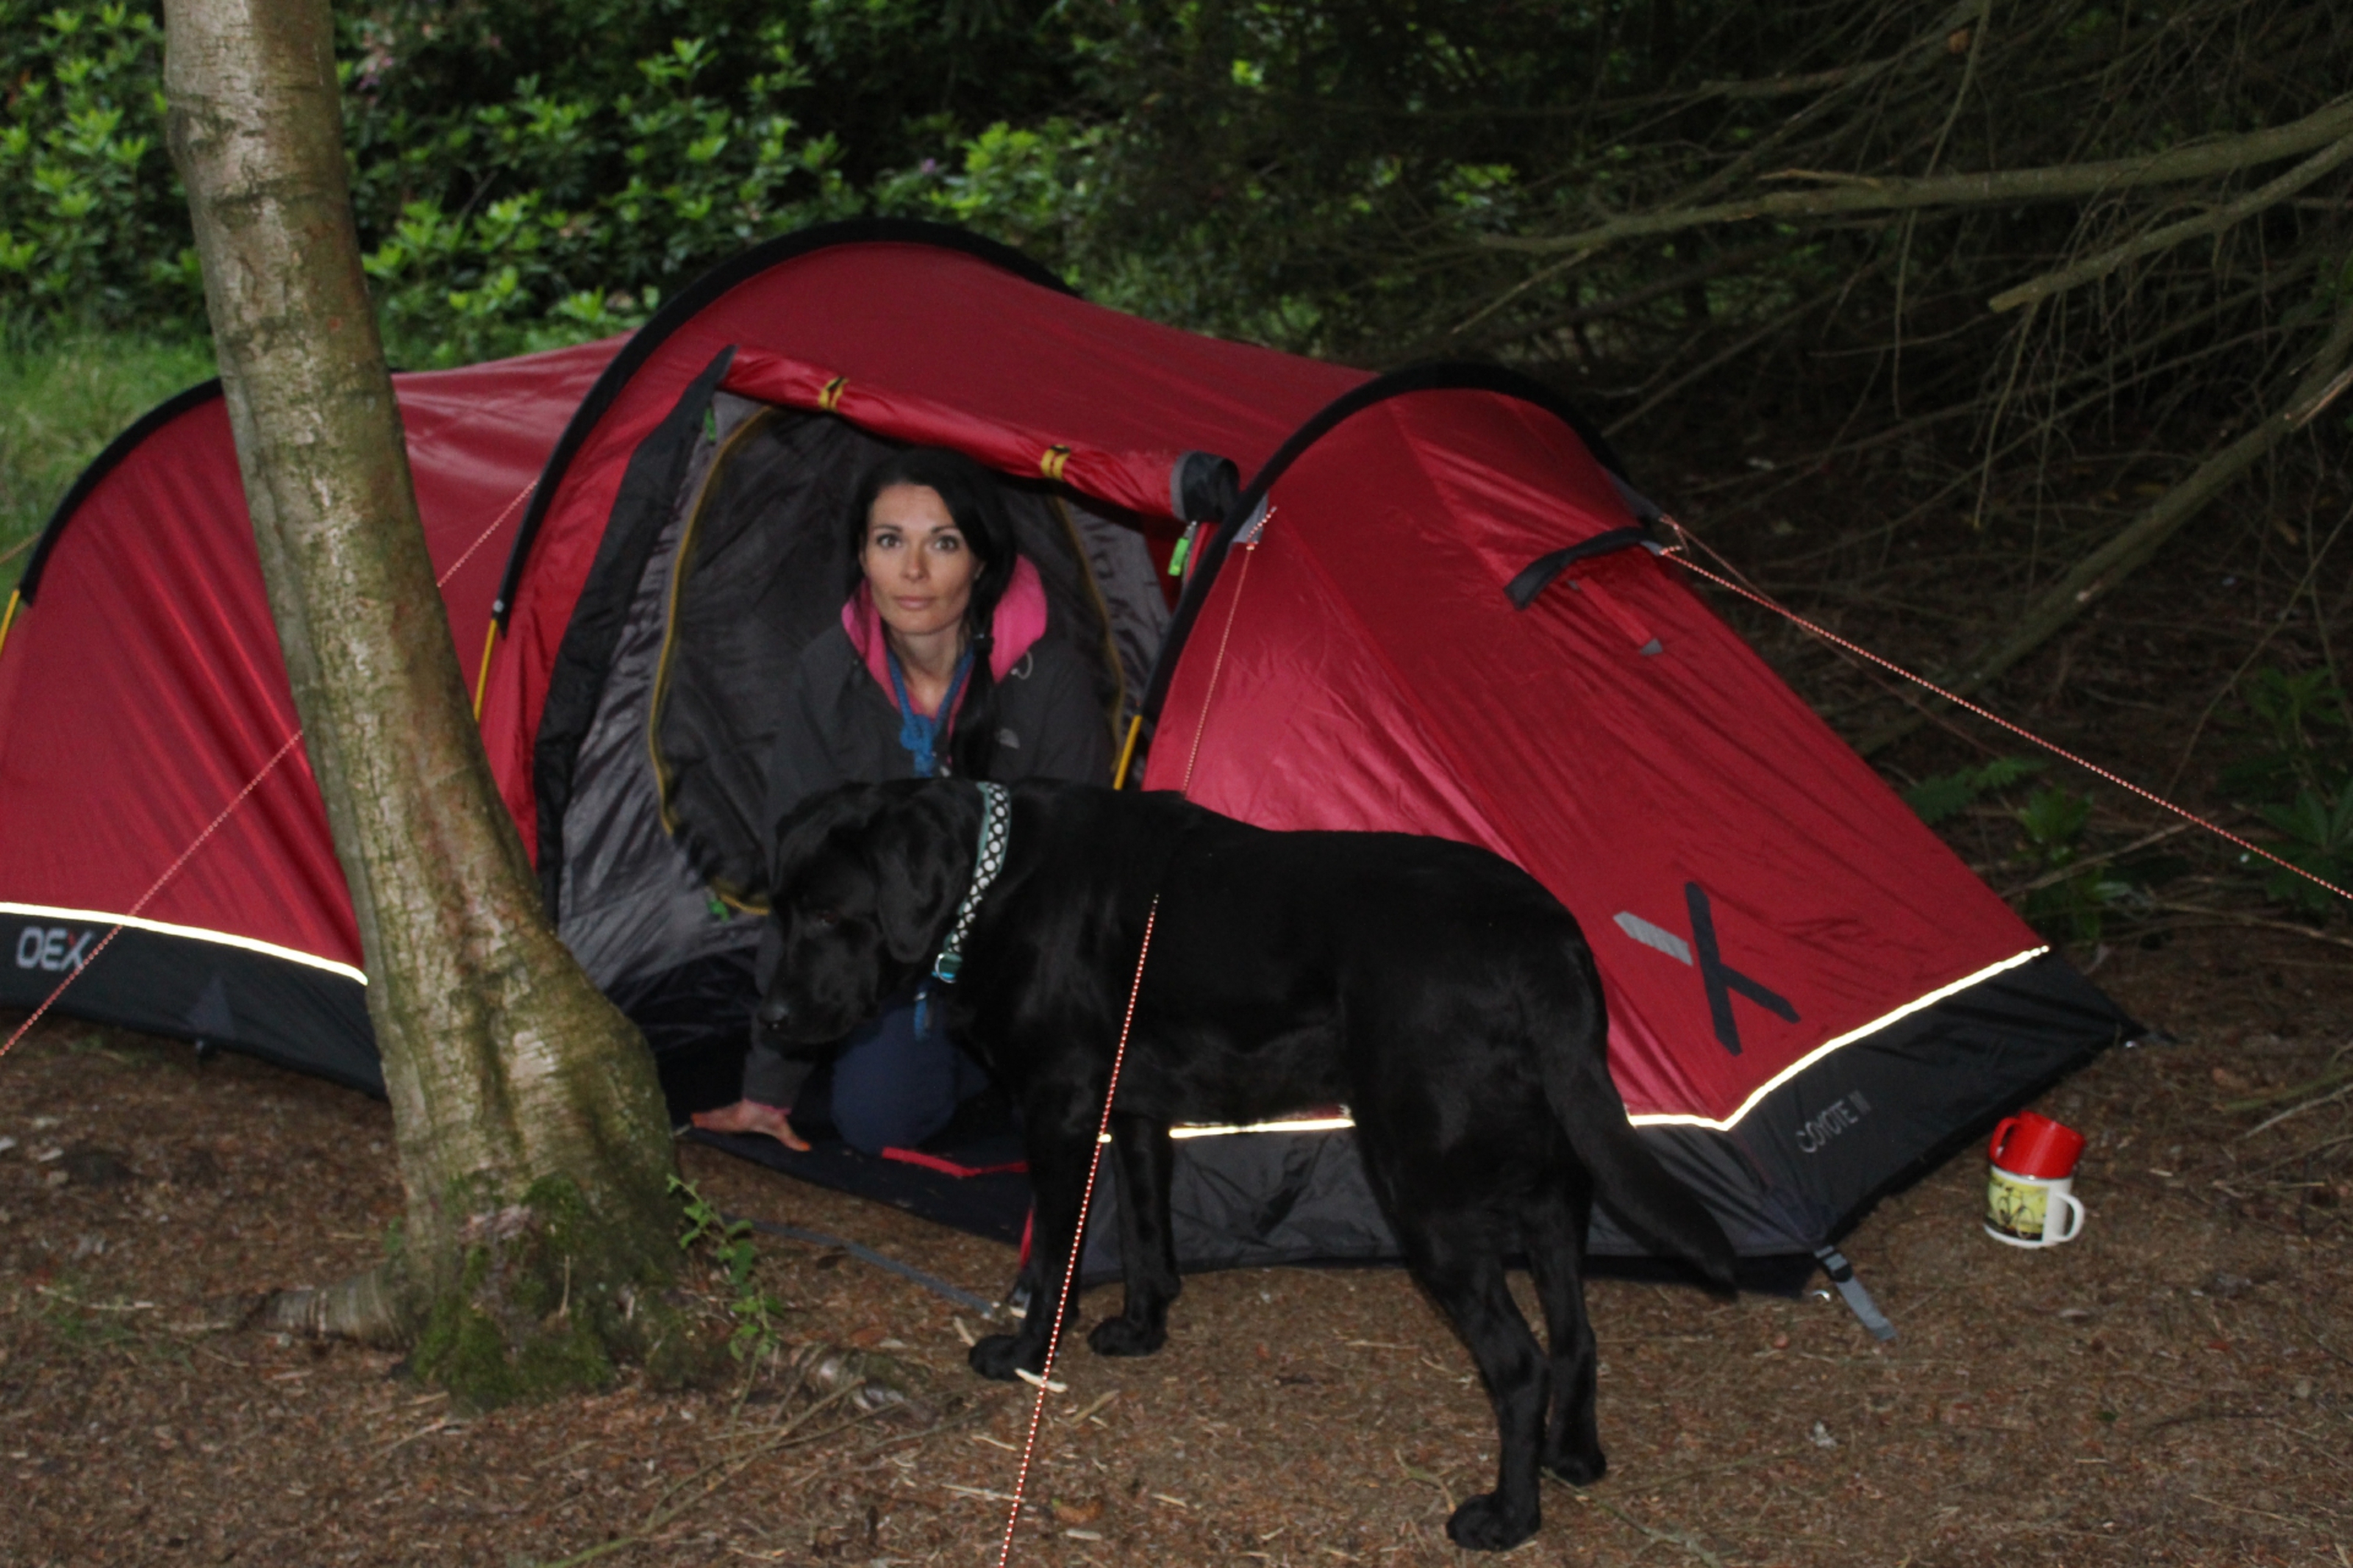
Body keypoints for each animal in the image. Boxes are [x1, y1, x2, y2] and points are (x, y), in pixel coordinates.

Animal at [762, 780, 1741, 1551]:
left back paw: (1505, 1519)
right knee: (1575, 1334)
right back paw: (1574, 1457)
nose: (768, 1020)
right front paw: (1140, 1331)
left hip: (1426, 1194)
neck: (995, 880)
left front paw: (1025, 1353)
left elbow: (1053, 1265)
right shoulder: (1135, 1114)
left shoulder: (1059, 1115)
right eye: (777, 909)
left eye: (830, 912)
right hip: (1555, 1187)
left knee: (1519, 1363)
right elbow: (1147, 1236)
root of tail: (1542, 937)